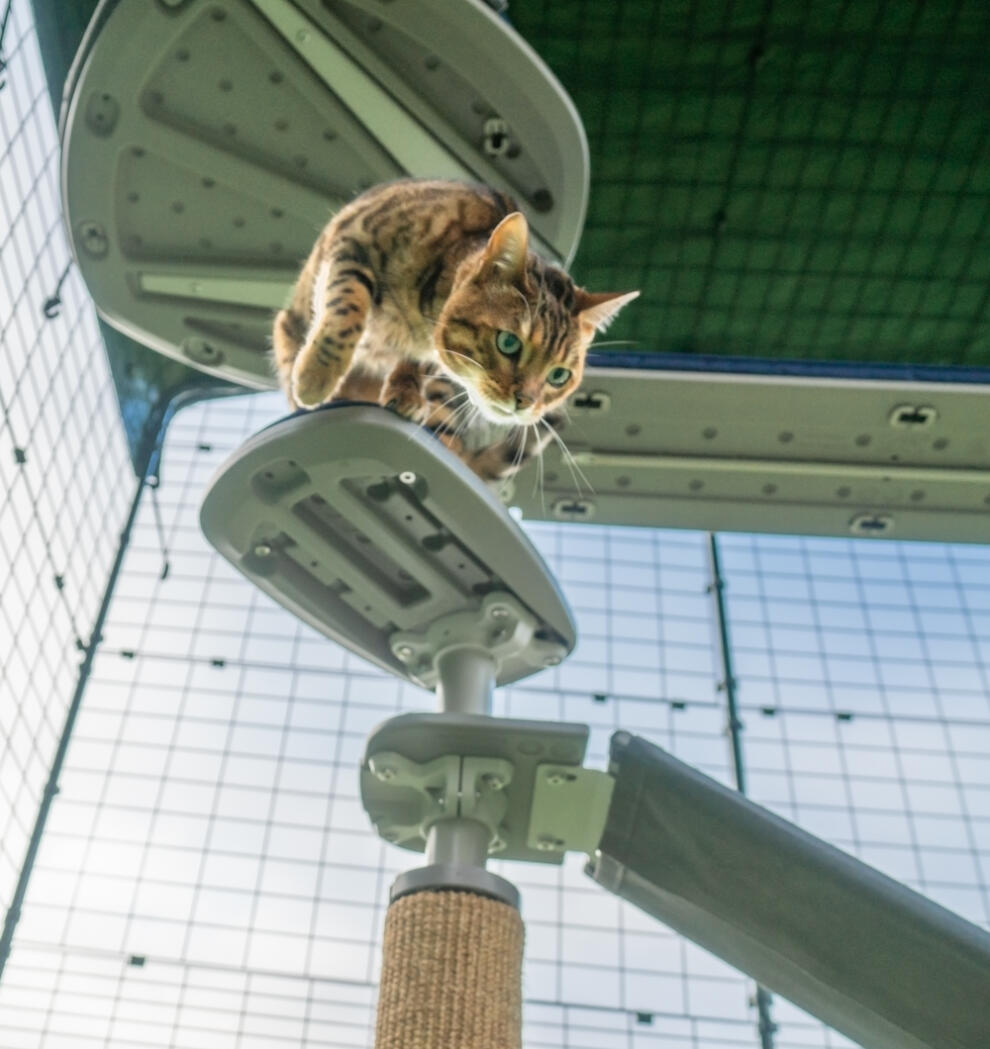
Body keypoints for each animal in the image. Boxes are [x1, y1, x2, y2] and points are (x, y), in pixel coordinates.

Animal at [274, 182, 637, 484]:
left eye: (559, 376)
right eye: (508, 343)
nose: (526, 402)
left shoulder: (430, 355)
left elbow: (416, 363)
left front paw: (405, 391)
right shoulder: (355, 241)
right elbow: (346, 306)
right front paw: (316, 375)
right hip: (289, 320)